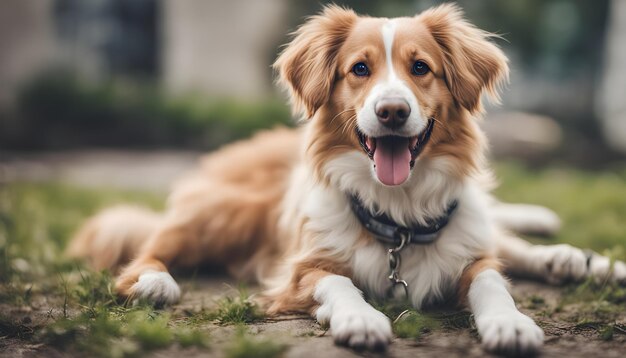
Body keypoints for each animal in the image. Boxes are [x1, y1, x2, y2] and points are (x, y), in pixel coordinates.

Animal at [68, 4, 624, 356]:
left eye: (420, 68)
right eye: (359, 69)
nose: (392, 111)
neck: (399, 213)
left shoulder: (468, 248)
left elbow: (493, 280)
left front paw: (510, 322)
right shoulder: (300, 270)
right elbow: (339, 282)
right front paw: (361, 319)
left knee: (507, 240)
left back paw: (582, 261)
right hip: (222, 213)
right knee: (151, 242)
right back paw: (154, 280)